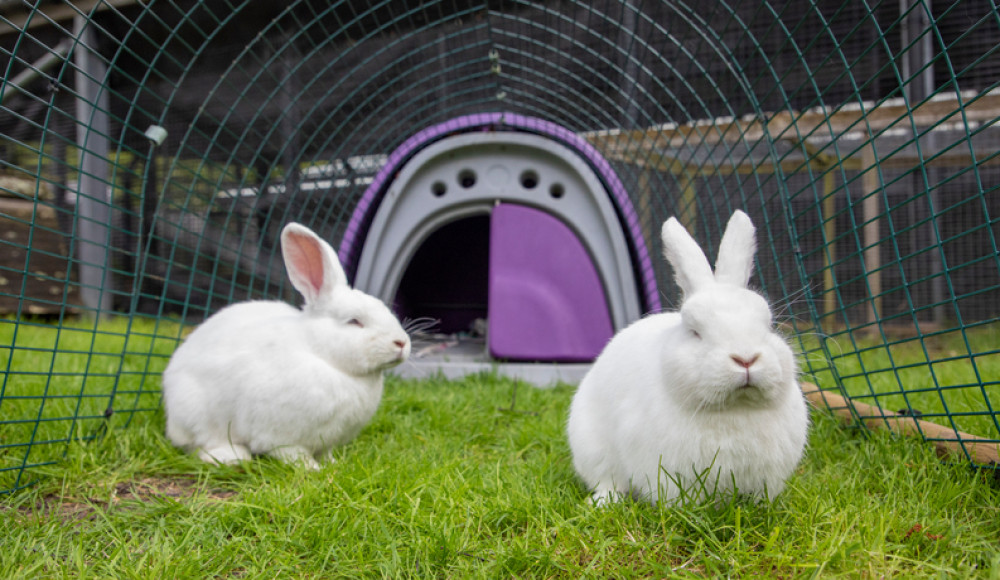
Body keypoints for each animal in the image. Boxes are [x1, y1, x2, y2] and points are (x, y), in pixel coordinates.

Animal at [161, 220, 410, 468]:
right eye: (354, 321)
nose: (401, 342)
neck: (321, 356)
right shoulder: (281, 437)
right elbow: (295, 455)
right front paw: (314, 470)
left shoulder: (325, 441)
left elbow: (326, 452)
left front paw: (333, 465)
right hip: (198, 413)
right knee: (201, 444)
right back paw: (231, 456)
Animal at [568, 211, 808, 506]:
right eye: (695, 332)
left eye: (769, 325)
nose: (746, 359)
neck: (734, 409)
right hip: (591, 447)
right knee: (607, 480)